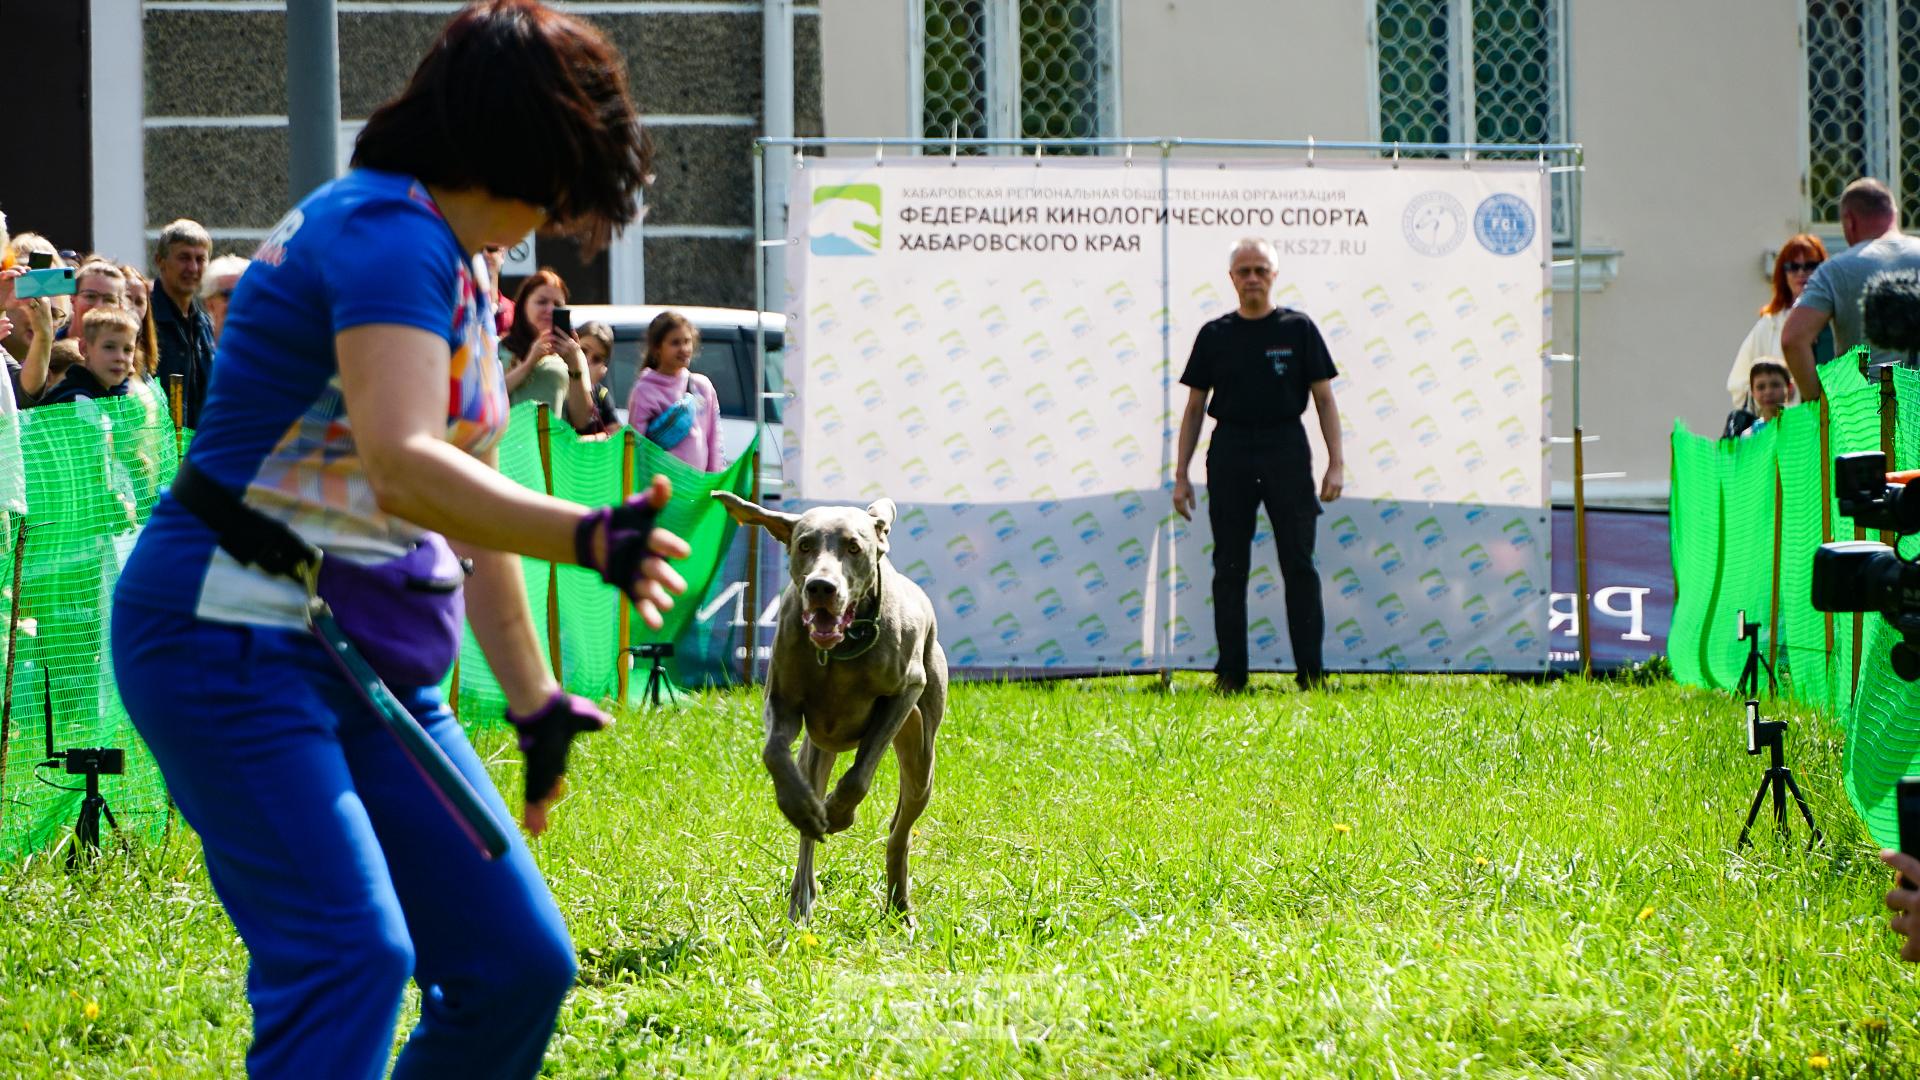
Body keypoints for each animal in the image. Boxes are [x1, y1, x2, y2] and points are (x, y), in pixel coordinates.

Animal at [714, 491, 944, 922]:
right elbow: (774, 753)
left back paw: (899, 904)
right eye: (804, 545)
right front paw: (804, 809)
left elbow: (858, 776)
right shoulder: (782, 699)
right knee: (809, 822)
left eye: (854, 547)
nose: (821, 587)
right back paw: (801, 899)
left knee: (900, 831)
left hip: (922, 756)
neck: (840, 651)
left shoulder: (905, 691)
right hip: (817, 750)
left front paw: (839, 812)